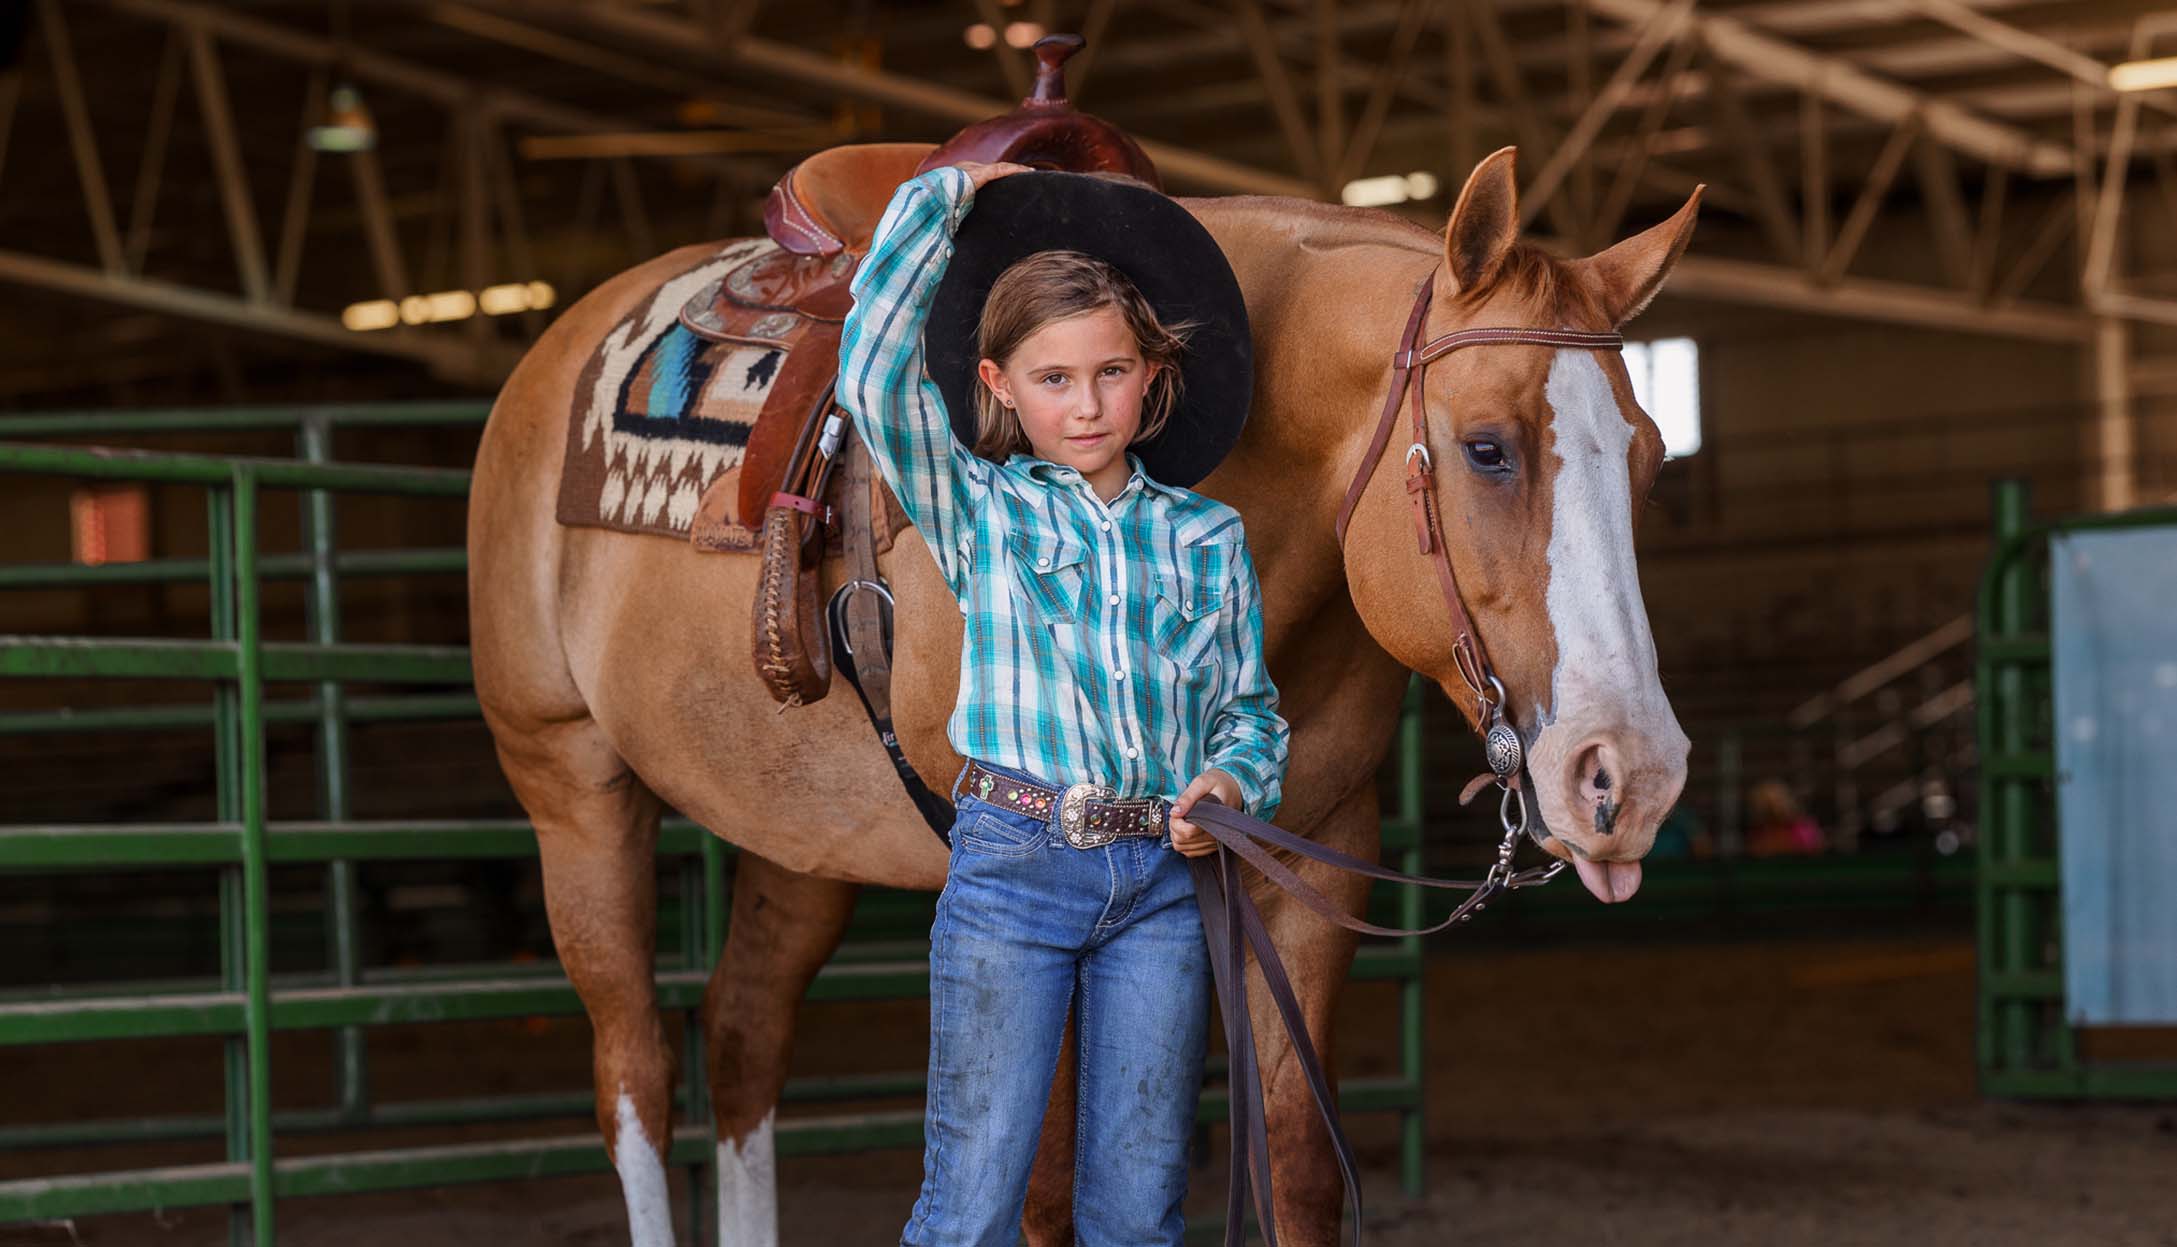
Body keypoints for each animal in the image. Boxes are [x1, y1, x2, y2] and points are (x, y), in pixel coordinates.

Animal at [466, 145, 1697, 1246]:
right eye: (1486, 449)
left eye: (1647, 458)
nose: (1629, 775)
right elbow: (1045, 1191)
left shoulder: (1310, 859)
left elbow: (1296, 1170)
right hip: (572, 787)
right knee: (635, 1071)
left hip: (798, 839)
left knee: (742, 1037)